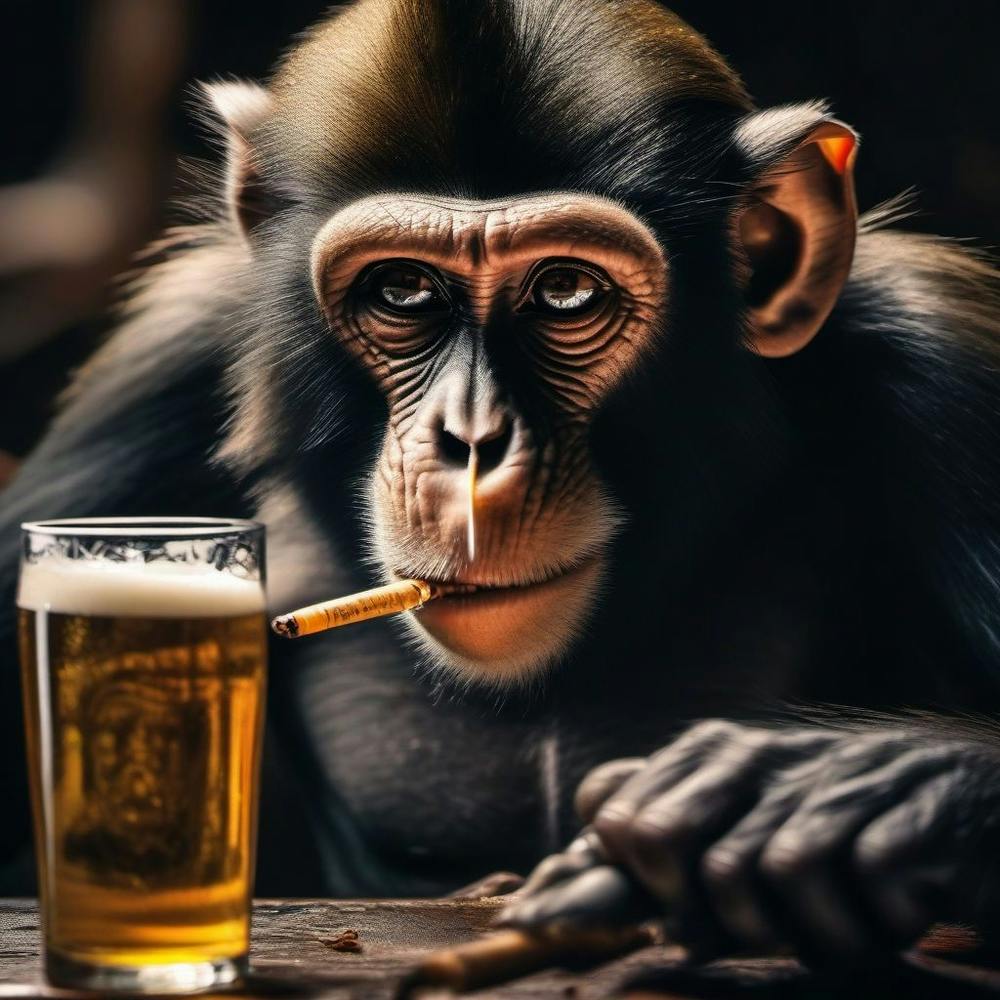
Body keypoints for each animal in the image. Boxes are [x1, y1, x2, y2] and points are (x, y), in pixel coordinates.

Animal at [2, 0, 1000, 964]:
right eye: (403, 291)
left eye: (565, 291)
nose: (471, 440)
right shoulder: (159, 376)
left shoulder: (945, 373)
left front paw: (852, 789)